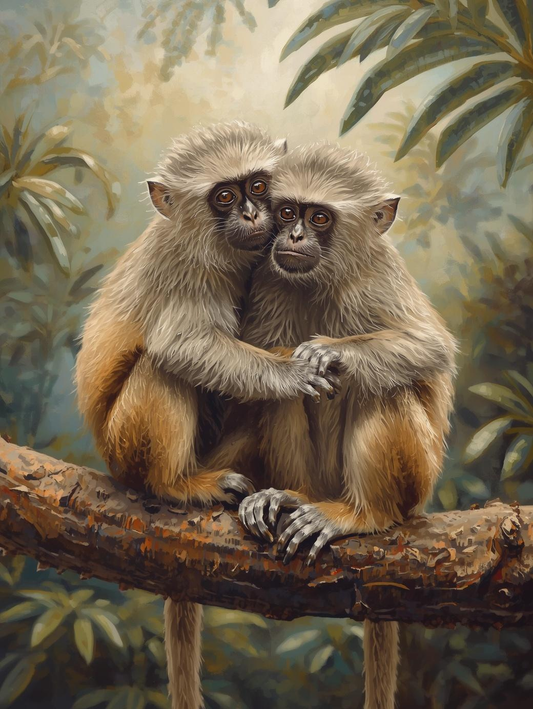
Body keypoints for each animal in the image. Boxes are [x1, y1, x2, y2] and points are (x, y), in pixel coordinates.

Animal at [75, 122, 333, 709]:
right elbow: (180, 346)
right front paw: (291, 375)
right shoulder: (186, 268)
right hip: (126, 446)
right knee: (161, 366)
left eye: (258, 187)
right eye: (224, 197)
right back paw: (174, 484)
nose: (253, 215)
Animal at [205, 143, 456, 709]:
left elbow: (429, 348)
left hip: (415, 478)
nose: (294, 237)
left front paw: (331, 352)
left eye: (318, 218)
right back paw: (289, 496)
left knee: (383, 383)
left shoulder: (380, 279)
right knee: (286, 379)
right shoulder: (270, 280)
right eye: (287, 212)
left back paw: (363, 513)